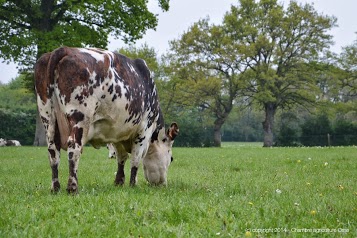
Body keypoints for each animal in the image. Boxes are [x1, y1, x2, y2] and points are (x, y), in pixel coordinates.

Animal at [34, 46, 178, 193]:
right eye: (171, 159)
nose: (163, 184)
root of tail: (65, 49)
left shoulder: (118, 132)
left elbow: (121, 157)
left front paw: (119, 182)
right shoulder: (144, 130)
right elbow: (135, 159)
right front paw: (133, 184)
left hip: (47, 116)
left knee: (53, 151)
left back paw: (55, 188)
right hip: (80, 117)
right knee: (74, 147)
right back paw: (72, 188)